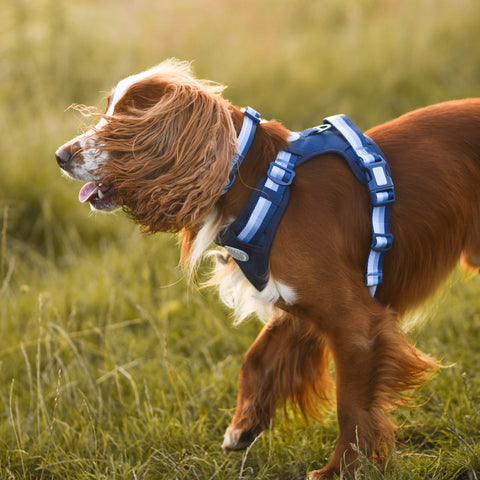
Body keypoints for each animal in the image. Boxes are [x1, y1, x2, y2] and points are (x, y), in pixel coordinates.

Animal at [54, 59, 480, 476]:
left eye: (126, 123)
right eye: (108, 109)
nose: (60, 155)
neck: (261, 184)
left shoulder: (356, 324)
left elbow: (351, 406)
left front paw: (341, 469)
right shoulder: (297, 305)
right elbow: (256, 357)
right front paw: (243, 427)